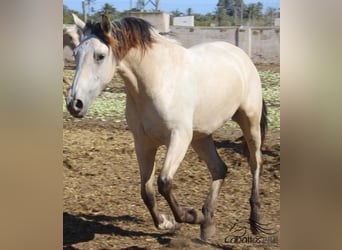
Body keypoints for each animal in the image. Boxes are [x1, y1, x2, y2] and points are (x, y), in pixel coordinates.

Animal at [66, 14, 268, 240]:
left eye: (100, 56)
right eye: (75, 54)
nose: (74, 104)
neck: (158, 80)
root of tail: (240, 55)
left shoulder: (178, 137)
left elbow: (164, 182)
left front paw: (190, 216)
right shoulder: (143, 143)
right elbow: (146, 191)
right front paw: (167, 222)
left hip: (249, 122)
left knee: (256, 163)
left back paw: (255, 219)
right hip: (201, 136)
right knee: (219, 168)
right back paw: (207, 223)